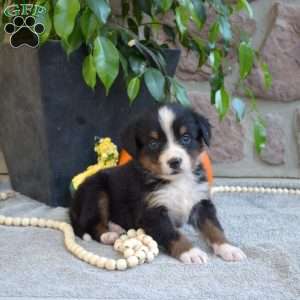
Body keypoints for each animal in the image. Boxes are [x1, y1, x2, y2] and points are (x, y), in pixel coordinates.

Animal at [69, 104, 246, 264]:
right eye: (154, 144)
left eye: (186, 138)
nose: (174, 161)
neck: (178, 182)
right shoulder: (152, 211)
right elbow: (173, 233)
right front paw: (191, 252)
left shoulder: (200, 202)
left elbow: (214, 227)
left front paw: (228, 248)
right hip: (96, 192)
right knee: (92, 224)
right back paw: (109, 235)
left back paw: (115, 228)